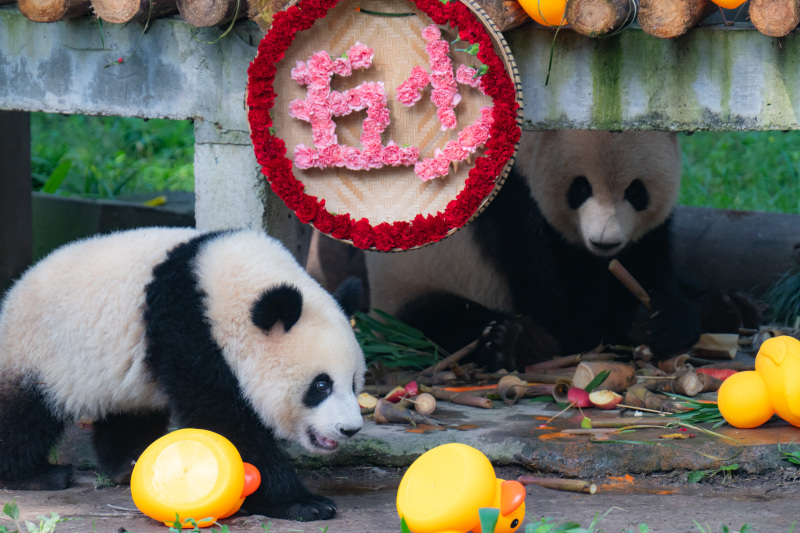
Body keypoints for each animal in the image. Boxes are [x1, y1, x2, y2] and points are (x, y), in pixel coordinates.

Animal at [0, 228, 366, 520]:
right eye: (321, 385)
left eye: (353, 383)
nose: (349, 429)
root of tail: (12, 293)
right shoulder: (187, 330)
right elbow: (224, 421)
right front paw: (303, 503)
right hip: (37, 352)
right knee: (23, 413)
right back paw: (34, 475)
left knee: (129, 411)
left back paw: (128, 464)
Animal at [368, 129, 700, 370]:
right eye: (581, 188)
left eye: (635, 191)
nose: (604, 242)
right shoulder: (514, 203)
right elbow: (563, 313)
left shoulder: (645, 235)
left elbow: (648, 264)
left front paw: (661, 320)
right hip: (411, 288)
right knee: (441, 321)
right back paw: (512, 343)